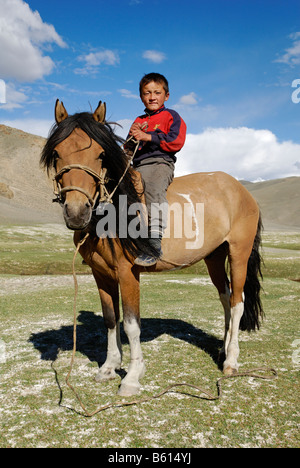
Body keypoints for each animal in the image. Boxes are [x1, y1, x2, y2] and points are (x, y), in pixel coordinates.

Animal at [39, 100, 262, 396]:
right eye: (56, 153)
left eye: (101, 155)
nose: (76, 212)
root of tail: (242, 190)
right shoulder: (101, 274)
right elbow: (110, 319)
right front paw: (109, 367)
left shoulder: (127, 272)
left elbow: (132, 325)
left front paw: (132, 377)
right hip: (214, 257)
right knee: (225, 298)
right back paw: (224, 350)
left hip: (239, 253)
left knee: (237, 302)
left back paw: (232, 361)